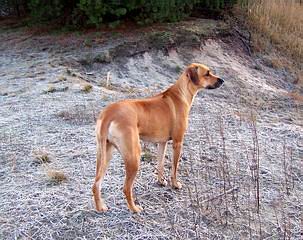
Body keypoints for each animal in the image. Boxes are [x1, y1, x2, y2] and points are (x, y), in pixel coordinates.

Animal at [94, 62, 224, 213]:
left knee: (96, 183)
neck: (181, 93)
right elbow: (174, 168)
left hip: (105, 153)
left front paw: (161, 181)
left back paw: (100, 207)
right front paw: (175, 184)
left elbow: (160, 164)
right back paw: (134, 208)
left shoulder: (162, 143)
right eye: (207, 73)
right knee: (126, 188)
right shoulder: (178, 142)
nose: (222, 80)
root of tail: (108, 113)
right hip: (134, 156)